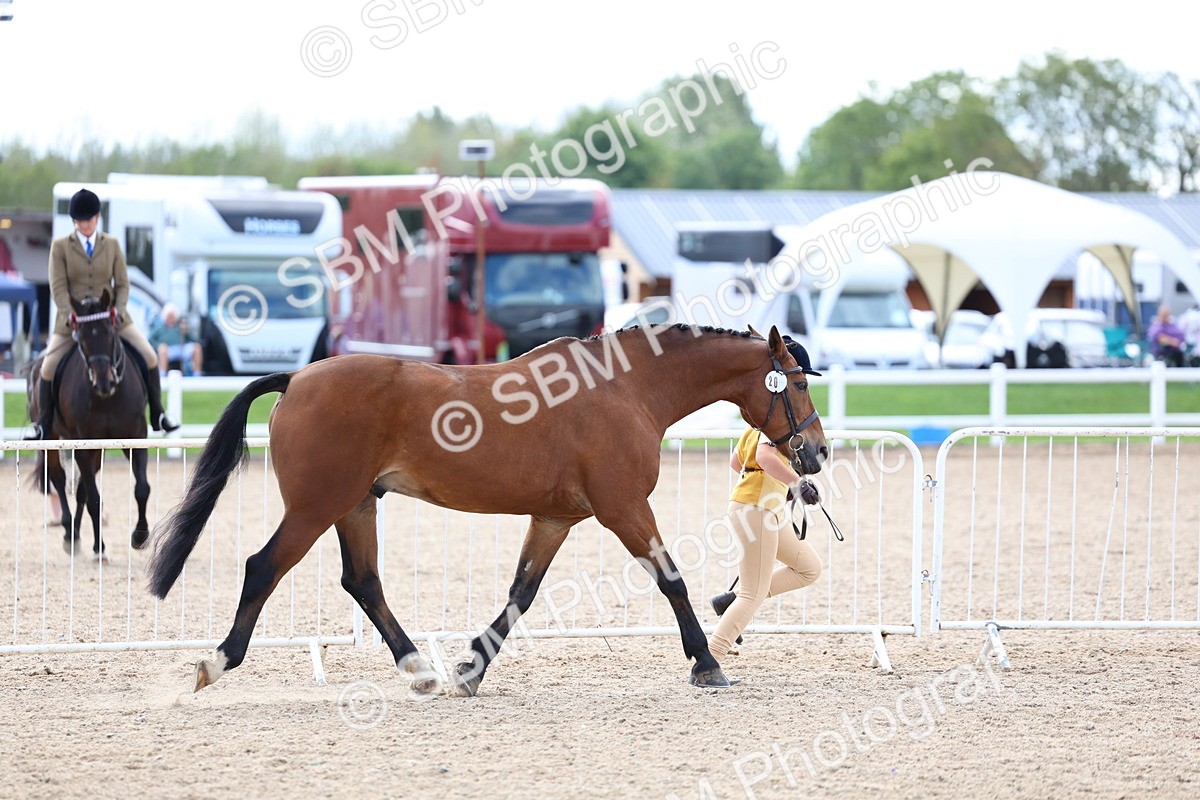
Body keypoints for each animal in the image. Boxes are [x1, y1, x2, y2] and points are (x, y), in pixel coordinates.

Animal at [26, 290, 153, 559]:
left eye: (109, 332)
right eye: (81, 338)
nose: (104, 383)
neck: (107, 399)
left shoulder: (134, 439)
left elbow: (142, 488)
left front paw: (139, 536)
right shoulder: (83, 447)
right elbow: (94, 498)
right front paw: (99, 546)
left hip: (97, 449)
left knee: (82, 488)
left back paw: (82, 536)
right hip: (53, 439)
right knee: (60, 479)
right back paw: (69, 533)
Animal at [147, 323, 827, 694]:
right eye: (797, 384)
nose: (817, 453)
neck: (625, 390)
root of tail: (295, 378)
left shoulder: (556, 519)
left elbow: (521, 593)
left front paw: (471, 669)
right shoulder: (624, 509)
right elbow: (673, 581)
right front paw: (706, 663)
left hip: (356, 506)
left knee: (362, 581)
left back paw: (419, 668)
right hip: (317, 507)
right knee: (264, 567)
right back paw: (215, 662)